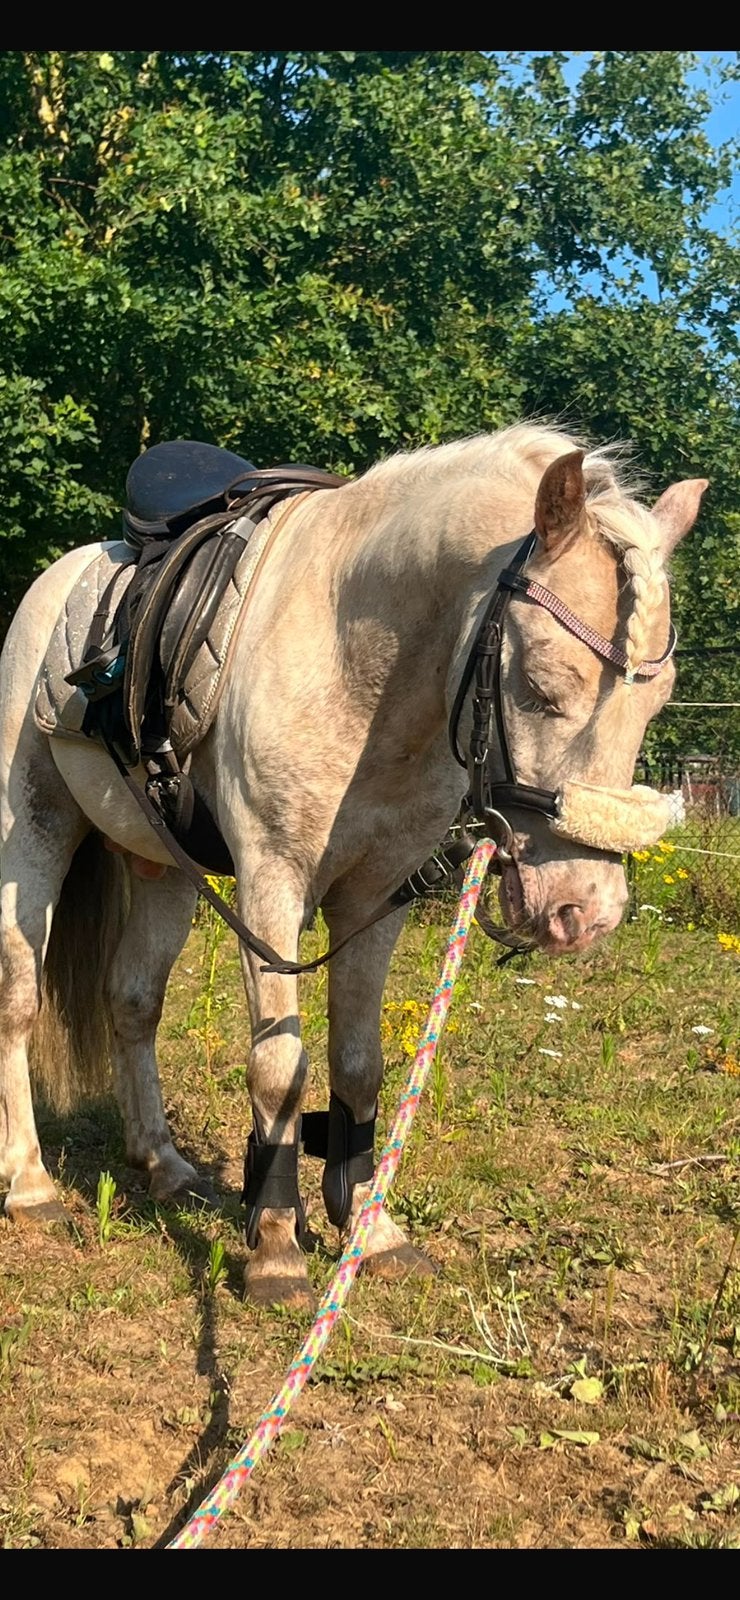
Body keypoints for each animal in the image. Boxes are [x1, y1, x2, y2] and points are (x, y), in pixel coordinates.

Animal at [0, 424, 706, 1308]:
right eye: (542, 688)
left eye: (658, 700)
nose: (587, 913)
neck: (358, 667)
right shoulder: (271, 890)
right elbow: (279, 1070)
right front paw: (274, 1249)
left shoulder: (376, 898)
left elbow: (360, 1067)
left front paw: (370, 1227)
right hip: (34, 828)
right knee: (19, 999)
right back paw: (30, 1187)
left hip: (163, 867)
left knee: (133, 1003)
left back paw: (162, 1163)